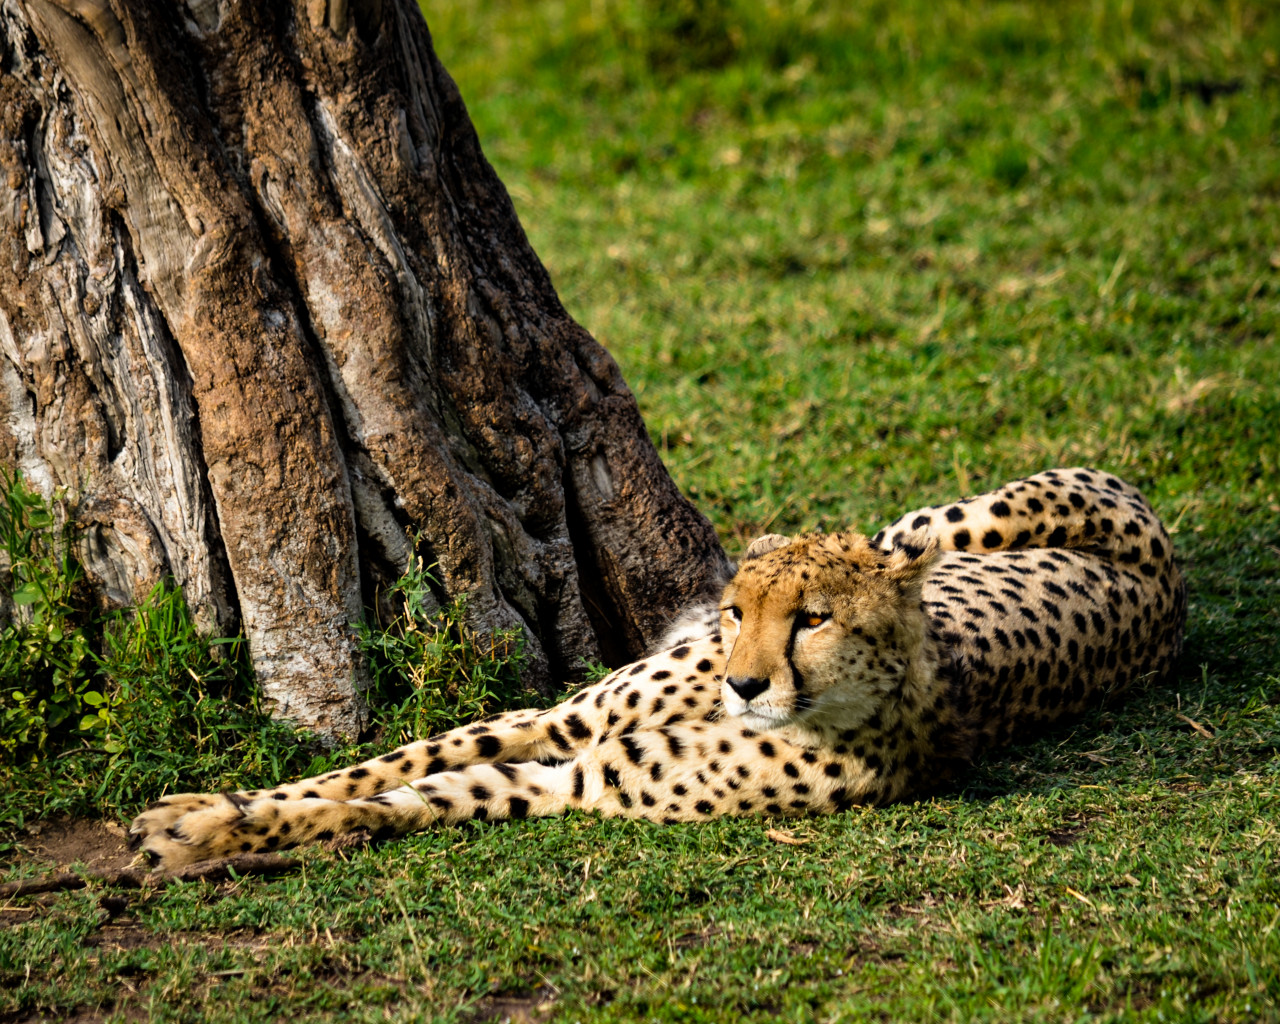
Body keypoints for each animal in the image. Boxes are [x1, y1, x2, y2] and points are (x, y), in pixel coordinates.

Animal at [130, 467, 1186, 869]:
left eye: (813, 619)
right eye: (741, 611)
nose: (744, 681)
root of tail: (1171, 590)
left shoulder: (579, 777)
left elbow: (414, 798)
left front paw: (199, 837)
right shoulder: (561, 723)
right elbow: (384, 764)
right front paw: (199, 810)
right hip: (937, 523)